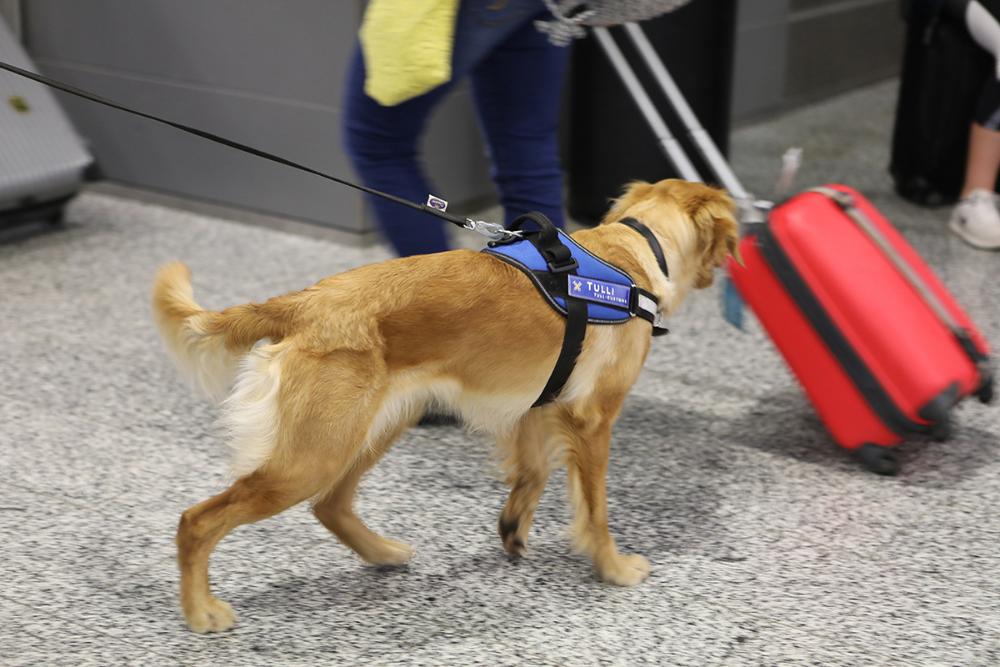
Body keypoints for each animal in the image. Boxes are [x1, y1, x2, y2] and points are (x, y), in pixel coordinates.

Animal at [152, 177, 740, 632]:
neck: (633, 253)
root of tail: (303, 303)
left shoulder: (539, 407)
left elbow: (532, 475)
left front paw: (513, 528)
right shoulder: (593, 421)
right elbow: (595, 510)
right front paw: (613, 568)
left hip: (374, 426)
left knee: (331, 504)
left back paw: (382, 553)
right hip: (310, 457)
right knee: (197, 521)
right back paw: (200, 611)